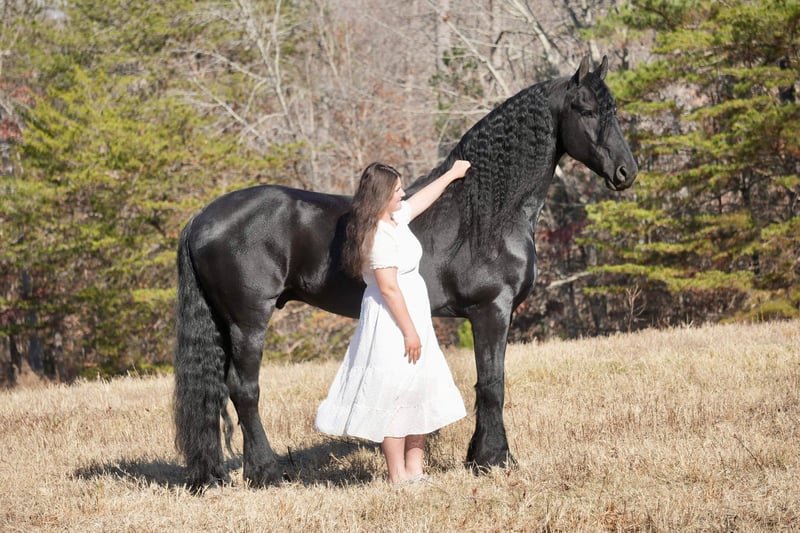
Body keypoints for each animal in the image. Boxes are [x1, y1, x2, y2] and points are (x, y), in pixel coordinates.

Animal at [173, 55, 637, 487]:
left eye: (613, 108)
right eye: (585, 108)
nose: (626, 172)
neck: (483, 214)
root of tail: (201, 217)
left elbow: (489, 381)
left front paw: (481, 455)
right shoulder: (491, 310)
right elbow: (492, 385)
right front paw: (493, 460)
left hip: (225, 322)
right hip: (249, 320)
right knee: (244, 389)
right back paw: (267, 472)